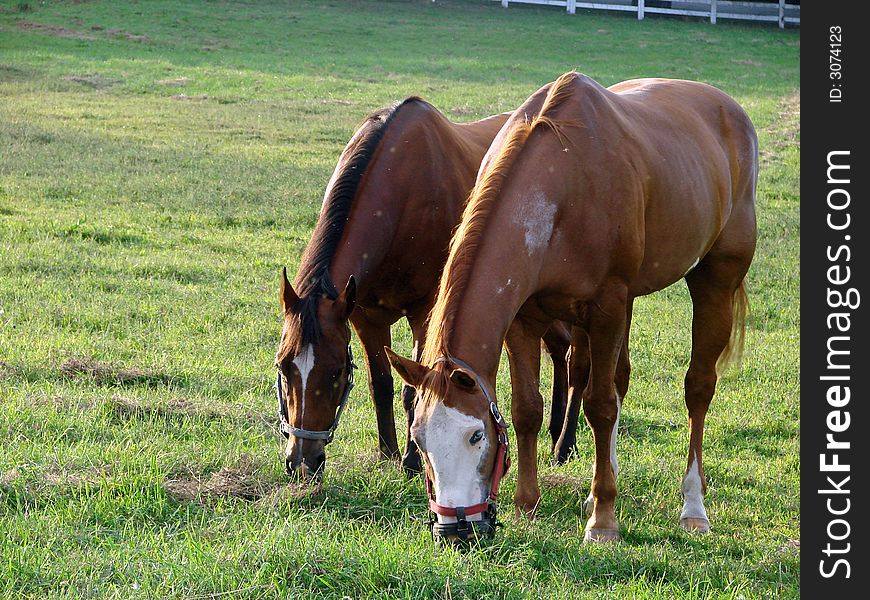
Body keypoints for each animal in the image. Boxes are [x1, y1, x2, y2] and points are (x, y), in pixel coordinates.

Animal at [276, 99, 576, 482]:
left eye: (336, 372)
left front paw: (411, 462)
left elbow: (411, 389)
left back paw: (564, 444)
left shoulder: (424, 312)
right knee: (560, 348)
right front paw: (387, 454)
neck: (402, 189)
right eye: (284, 367)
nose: (302, 462)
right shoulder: (364, 316)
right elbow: (380, 385)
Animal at [386, 71, 756, 544]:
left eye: (474, 436)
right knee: (619, 378)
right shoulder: (524, 319)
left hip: (714, 281)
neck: (559, 187)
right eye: (419, 438)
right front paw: (527, 508)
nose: (455, 531)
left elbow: (600, 405)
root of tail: (731, 109)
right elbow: (527, 408)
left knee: (697, 388)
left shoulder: (608, 307)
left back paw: (692, 506)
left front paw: (603, 521)